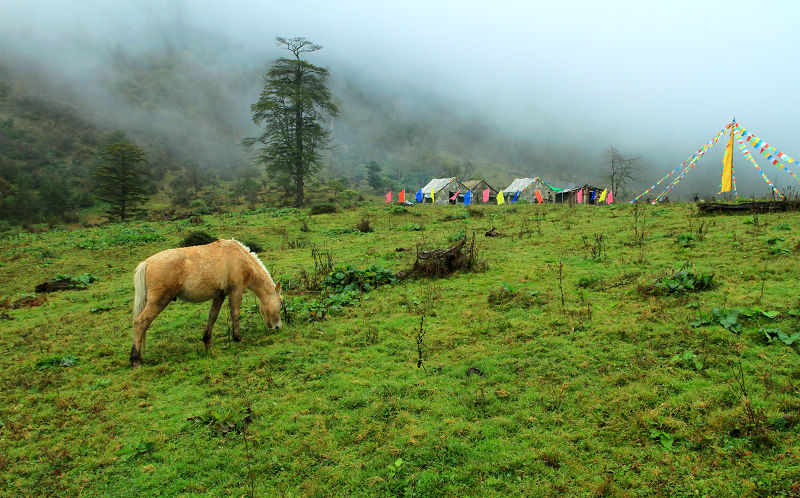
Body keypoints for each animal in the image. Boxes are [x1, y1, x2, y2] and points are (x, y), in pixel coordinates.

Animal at [129, 239, 282, 368]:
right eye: (281, 303)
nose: (278, 326)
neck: (239, 255)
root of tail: (147, 262)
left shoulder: (219, 295)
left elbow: (212, 317)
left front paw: (207, 342)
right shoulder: (236, 290)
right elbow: (235, 313)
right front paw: (237, 338)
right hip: (159, 300)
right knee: (141, 323)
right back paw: (135, 360)